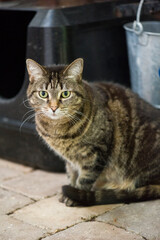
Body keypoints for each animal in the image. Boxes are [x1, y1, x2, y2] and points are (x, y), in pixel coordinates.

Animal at [26, 57, 160, 206]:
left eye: (65, 94)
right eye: (43, 94)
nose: (54, 107)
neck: (58, 130)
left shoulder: (95, 154)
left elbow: (85, 179)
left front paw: (74, 195)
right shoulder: (70, 160)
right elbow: (71, 174)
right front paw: (70, 189)